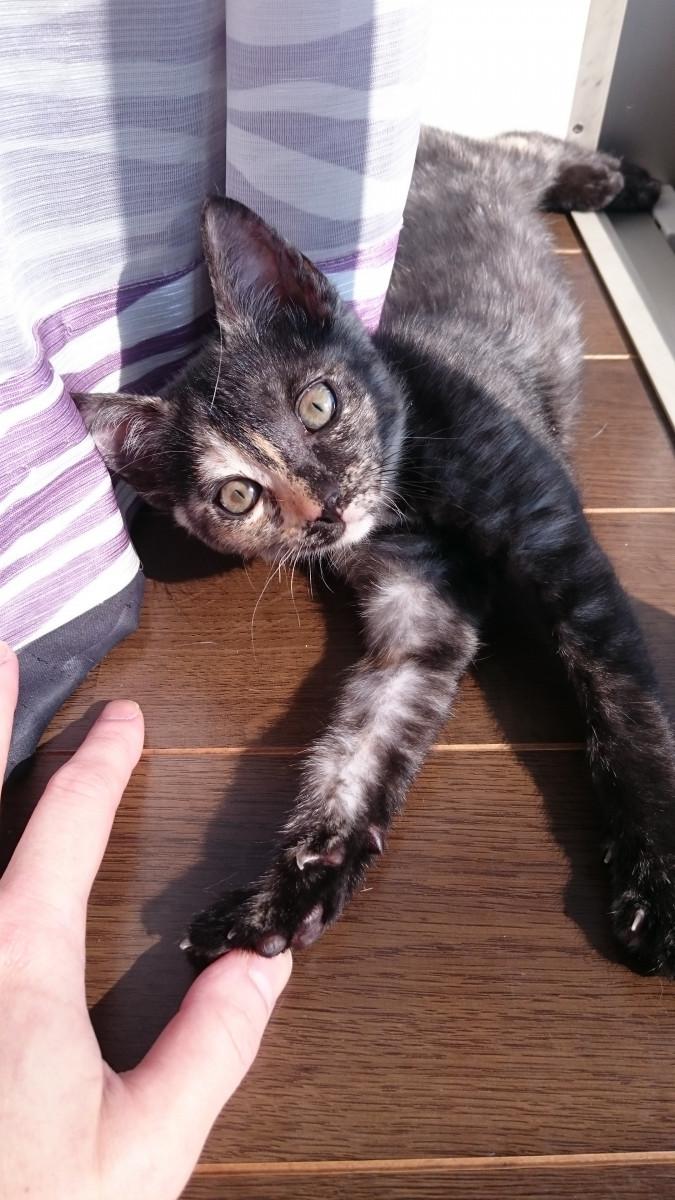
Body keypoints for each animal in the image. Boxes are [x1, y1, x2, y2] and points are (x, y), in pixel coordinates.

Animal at [75, 128, 675, 975]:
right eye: (238, 496)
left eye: (316, 405)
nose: (325, 505)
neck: (405, 502)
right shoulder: (419, 611)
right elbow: (364, 749)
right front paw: (283, 898)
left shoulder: (555, 541)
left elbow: (625, 704)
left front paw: (656, 879)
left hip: (492, 161)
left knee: (526, 142)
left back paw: (623, 183)